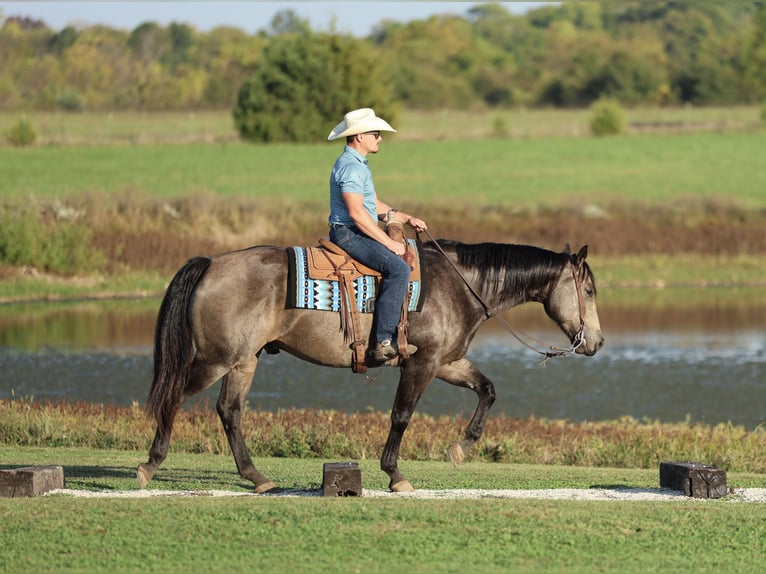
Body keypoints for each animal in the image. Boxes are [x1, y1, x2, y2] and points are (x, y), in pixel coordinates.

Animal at [137, 238, 603, 493]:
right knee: (174, 396)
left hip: (242, 363)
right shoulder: (422, 365)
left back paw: (257, 478)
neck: (460, 285)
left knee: (229, 412)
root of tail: (212, 263)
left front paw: (460, 448)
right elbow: (401, 416)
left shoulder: (447, 361)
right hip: (216, 360)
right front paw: (395, 474)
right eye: (590, 290)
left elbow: (487, 390)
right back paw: (149, 465)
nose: (596, 343)